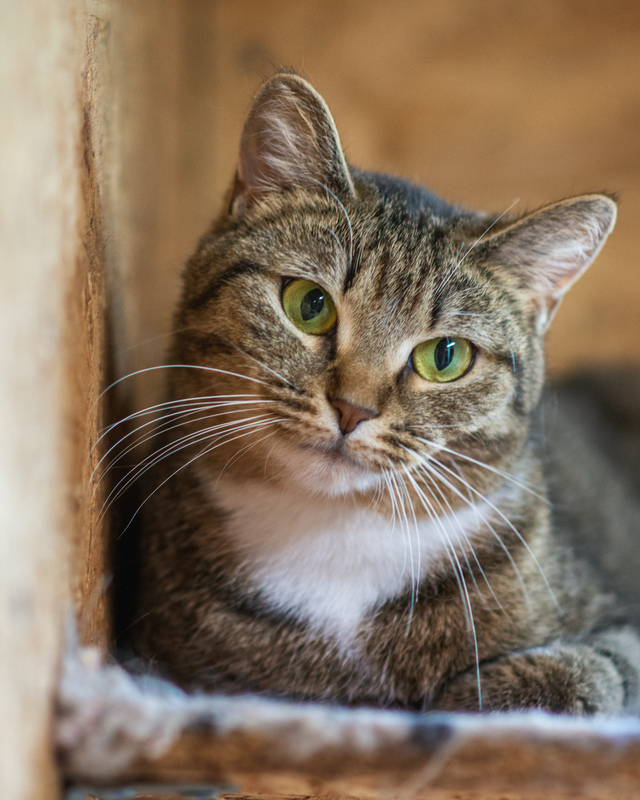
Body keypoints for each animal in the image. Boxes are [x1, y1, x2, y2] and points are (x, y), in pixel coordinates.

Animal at [127, 70, 640, 712]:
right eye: (309, 305)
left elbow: (593, 667)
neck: (333, 535)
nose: (353, 408)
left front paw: (473, 693)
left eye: (446, 357)